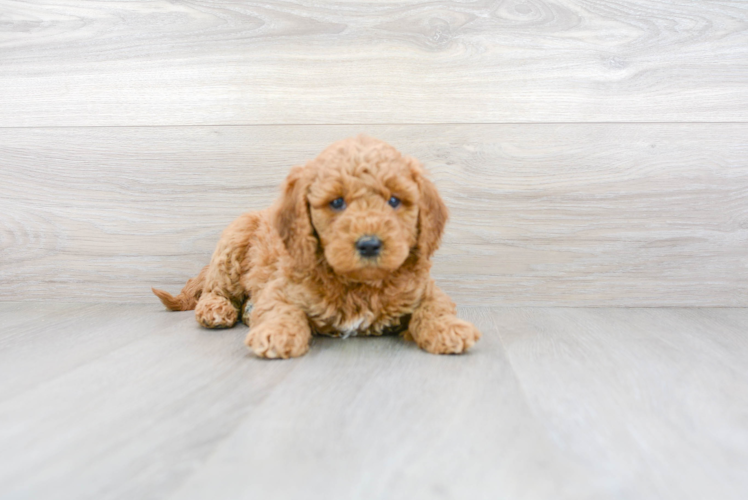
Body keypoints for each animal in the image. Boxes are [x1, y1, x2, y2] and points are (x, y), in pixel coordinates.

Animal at [153, 135, 480, 358]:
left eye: (394, 200)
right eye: (337, 203)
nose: (370, 245)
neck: (359, 284)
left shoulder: (424, 289)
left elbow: (435, 307)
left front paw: (449, 329)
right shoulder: (281, 287)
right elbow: (280, 309)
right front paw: (276, 333)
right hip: (233, 244)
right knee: (215, 289)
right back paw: (217, 309)